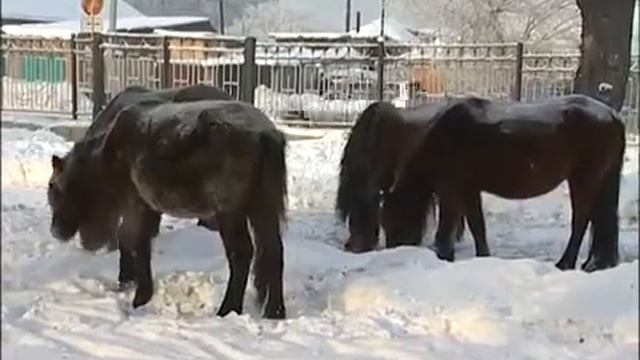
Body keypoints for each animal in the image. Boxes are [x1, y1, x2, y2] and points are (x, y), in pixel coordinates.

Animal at [380, 94, 624, 272]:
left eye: (392, 218)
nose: (391, 251)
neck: (445, 136)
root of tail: (612, 115)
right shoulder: (469, 189)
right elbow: (477, 225)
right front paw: (482, 257)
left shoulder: (451, 188)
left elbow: (447, 225)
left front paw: (445, 256)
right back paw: (595, 263)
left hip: (584, 180)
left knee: (582, 219)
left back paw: (566, 263)